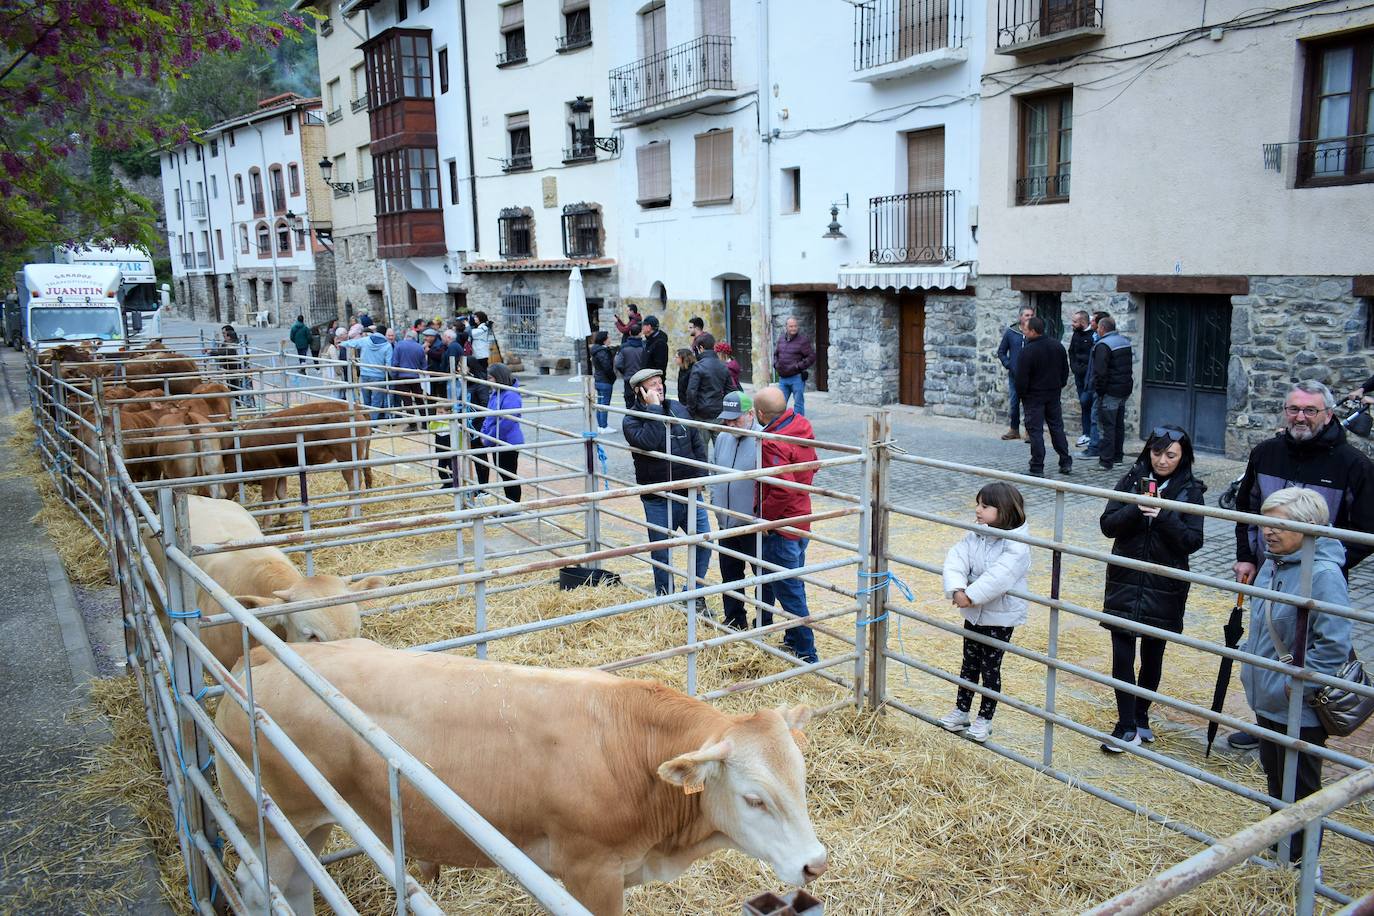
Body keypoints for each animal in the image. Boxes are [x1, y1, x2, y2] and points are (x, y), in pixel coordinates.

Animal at [214, 642, 824, 916]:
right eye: (754, 799)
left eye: (801, 778)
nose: (814, 864)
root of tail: (260, 659)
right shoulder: (589, 872)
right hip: (269, 819)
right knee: (257, 882)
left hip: (310, 823)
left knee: (296, 882)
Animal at [229, 398, 373, 521]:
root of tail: (358, 410)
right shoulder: (281, 470)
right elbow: (281, 494)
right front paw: (281, 520)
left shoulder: (269, 470)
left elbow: (268, 496)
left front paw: (266, 525)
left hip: (347, 458)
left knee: (354, 483)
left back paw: (348, 516)